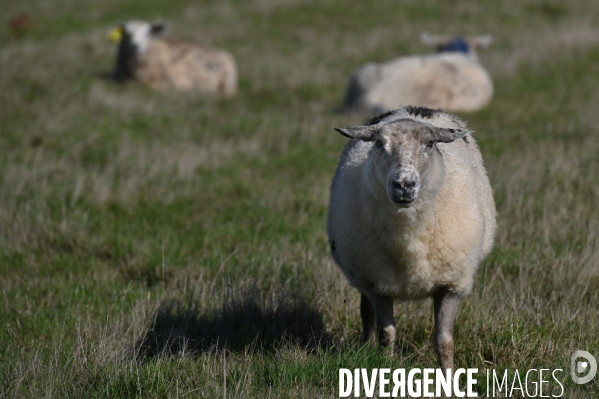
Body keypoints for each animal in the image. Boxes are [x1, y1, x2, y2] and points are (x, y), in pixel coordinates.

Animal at [328, 106, 496, 372]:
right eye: (379, 143)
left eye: (429, 143)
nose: (403, 185)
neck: (409, 235)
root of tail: (409, 109)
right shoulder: (378, 283)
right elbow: (386, 334)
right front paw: (384, 367)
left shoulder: (452, 283)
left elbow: (444, 341)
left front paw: (448, 377)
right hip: (363, 273)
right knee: (366, 315)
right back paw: (363, 348)